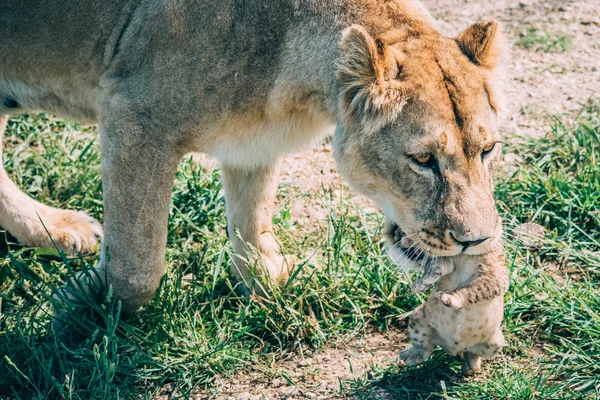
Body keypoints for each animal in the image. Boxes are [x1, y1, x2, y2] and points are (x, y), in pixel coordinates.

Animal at [0, 0, 506, 312]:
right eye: (423, 160)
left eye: (488, 149)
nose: (478, 241)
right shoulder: (133, 114)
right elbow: (137, 265)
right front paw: (82, 306)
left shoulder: (254, 142)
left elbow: (252, 220)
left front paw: (267, 286)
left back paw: (55, 230)